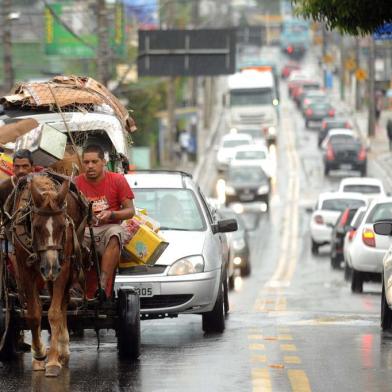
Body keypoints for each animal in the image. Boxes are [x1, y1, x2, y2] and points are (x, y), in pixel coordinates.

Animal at [8, 174, 86, 376]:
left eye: (62, 226)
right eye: (36, 226)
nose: (50, 267)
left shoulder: (63, 267)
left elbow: (54, 313)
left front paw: (52, 360)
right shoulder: (24, 269)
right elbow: (34, 314)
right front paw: (39, 354)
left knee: (63, 301)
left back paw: (62, 350)